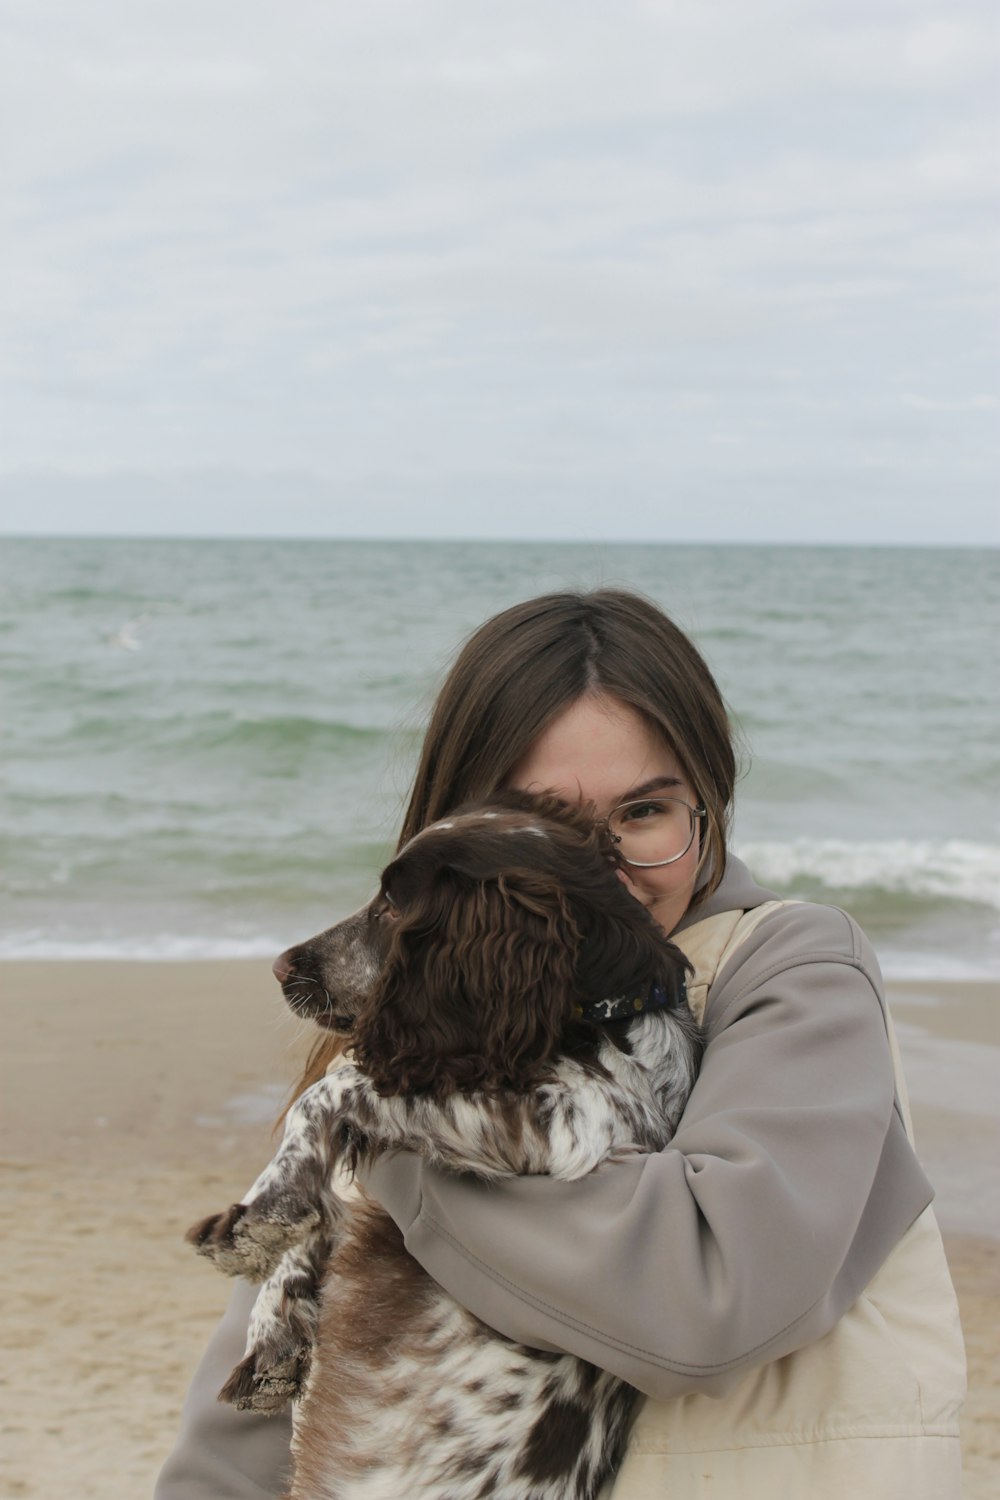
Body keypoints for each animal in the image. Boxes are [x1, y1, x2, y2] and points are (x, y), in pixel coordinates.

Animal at [189, 792, 704, 1494]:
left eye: (391, 906)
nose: (278, 966)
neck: (598, 1013)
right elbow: (323, 1218)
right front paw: (272, 1331)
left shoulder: (577, 1126)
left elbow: (330, 1087)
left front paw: (261, 1212)